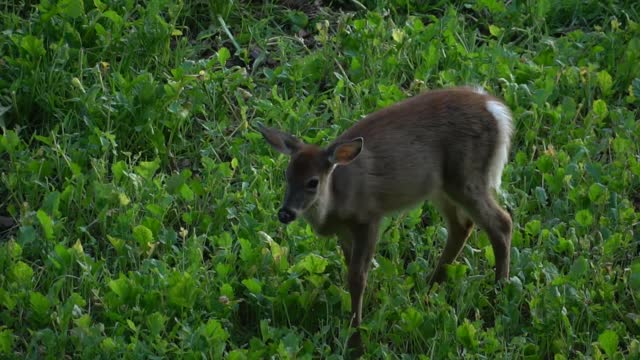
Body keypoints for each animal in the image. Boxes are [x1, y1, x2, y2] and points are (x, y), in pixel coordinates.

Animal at [258, 85, 512, 358]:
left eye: (312, 182)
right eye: (286, 175)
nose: (285, 213)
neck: (337, 199)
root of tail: (494, 109)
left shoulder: (369, 217)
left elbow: (357, 277)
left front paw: (356, 340)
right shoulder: (345, 232)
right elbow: (351, 270)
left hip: (466, 177)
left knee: (501, 222)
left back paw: (499, 292)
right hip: (441, 186)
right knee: (461, 226)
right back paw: (430, 287)